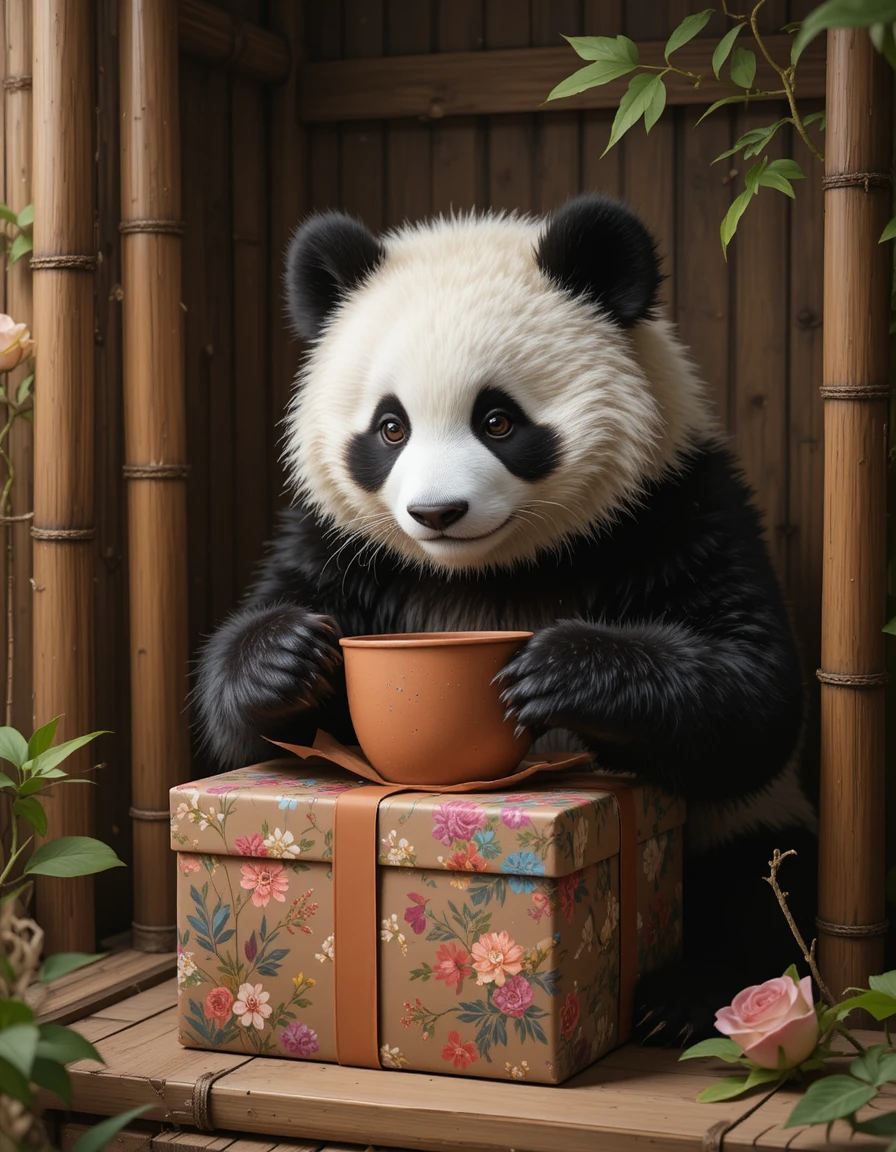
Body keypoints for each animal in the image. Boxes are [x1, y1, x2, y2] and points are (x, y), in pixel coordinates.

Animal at [194, 193, 818, 1046]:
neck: (491, 568)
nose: (438, 512)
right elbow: (246, 729)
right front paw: (288, 660)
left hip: (745, 827)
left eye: (498, 420)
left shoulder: (674, 509)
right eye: (390, 427)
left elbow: (754, 694)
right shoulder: (342, 547)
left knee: (759, 881)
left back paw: (683, 997)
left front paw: (561, 672)